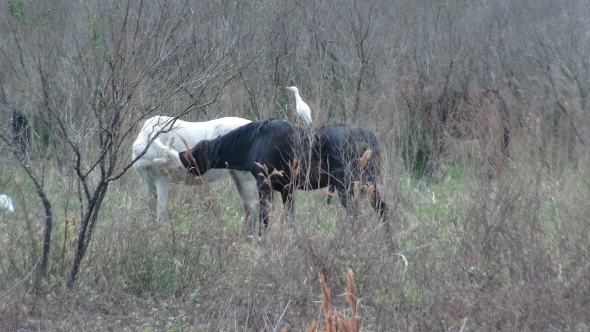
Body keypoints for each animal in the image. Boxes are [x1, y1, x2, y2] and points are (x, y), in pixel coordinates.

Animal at [157, 118, 388, 233]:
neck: (252, 141)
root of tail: (370, 139)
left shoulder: (265, 184)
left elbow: (265, 219)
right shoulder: (287, 189)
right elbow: (290, 220)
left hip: (346, 185)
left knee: (354, 214)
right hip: (368, 182)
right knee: (382, 209)